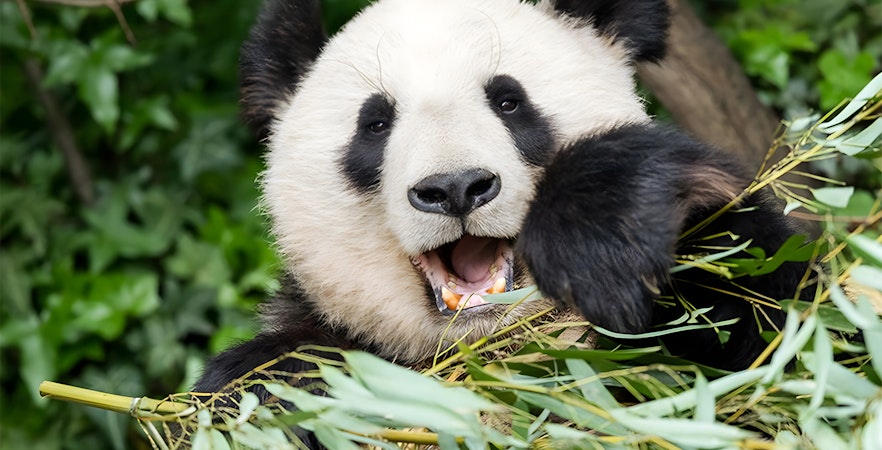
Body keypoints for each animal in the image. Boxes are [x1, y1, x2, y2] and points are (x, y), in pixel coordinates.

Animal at [196, 0, 807, 414]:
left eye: (509, 101)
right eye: (375, 123)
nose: (455, 187)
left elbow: (770, 324)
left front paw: (597, 247)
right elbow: (271, 382)